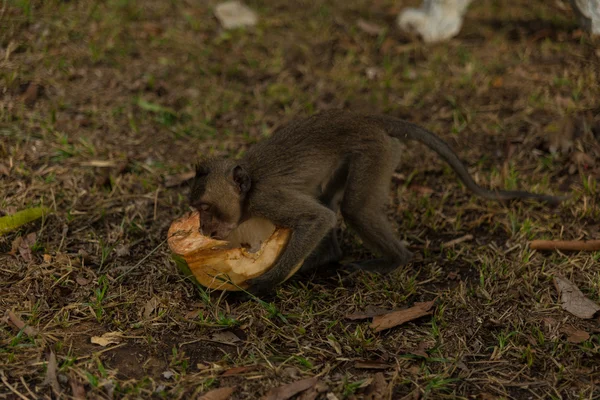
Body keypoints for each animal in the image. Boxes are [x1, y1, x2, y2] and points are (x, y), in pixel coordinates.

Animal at [189, 109, 568, 294]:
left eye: (205, 209)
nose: (204, 229)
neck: (249, 188)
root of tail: (368, 119)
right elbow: (321, 213)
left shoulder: (268, 198)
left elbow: (317, 219)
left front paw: (266, 283)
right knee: (331, 198)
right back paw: (328, 257)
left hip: (375, 150)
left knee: (353, 208)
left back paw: (396, 260)